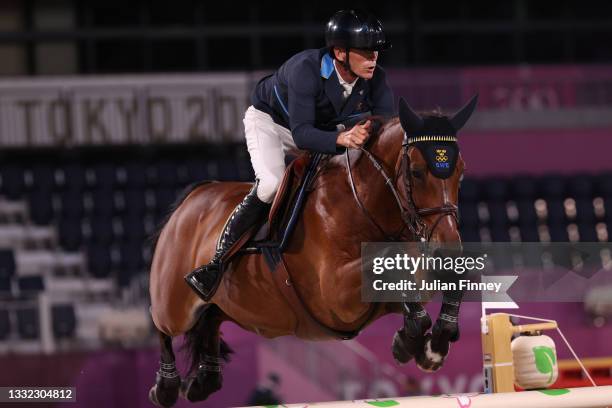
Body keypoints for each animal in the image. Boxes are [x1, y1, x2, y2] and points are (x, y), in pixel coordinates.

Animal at [147, 95, 478, 404]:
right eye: (418, 172)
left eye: (461, 172)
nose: (448, 247)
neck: (367, 206)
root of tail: (192, 196)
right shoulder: (336, 294)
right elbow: (388, 268)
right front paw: (412, 342)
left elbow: (442, 281)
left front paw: (429, 347)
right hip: (175, 303)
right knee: (162, 322)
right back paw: (166, 387)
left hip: (234, 304)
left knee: (212, 318)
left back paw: (204, 380)